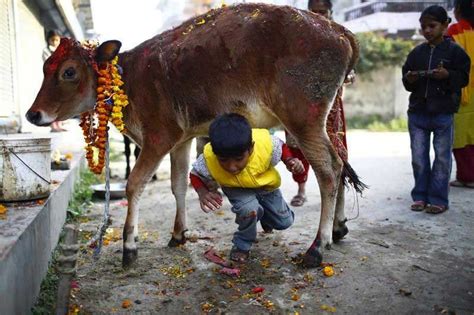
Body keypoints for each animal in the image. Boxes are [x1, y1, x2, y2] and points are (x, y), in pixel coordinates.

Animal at [25, 3, 360, 268]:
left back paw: (317, 248)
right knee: (343, 162)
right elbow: (178, 185)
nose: (33, 114)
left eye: (69, 71)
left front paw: (129, 247)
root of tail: (338, 30)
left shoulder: (159, 137)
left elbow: (135, 184)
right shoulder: (182, 139)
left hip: (304, 120)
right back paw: (339, 228)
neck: (129, 79)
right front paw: (178, 234)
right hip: (327, 119)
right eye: (44, 67)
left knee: (329, 170)